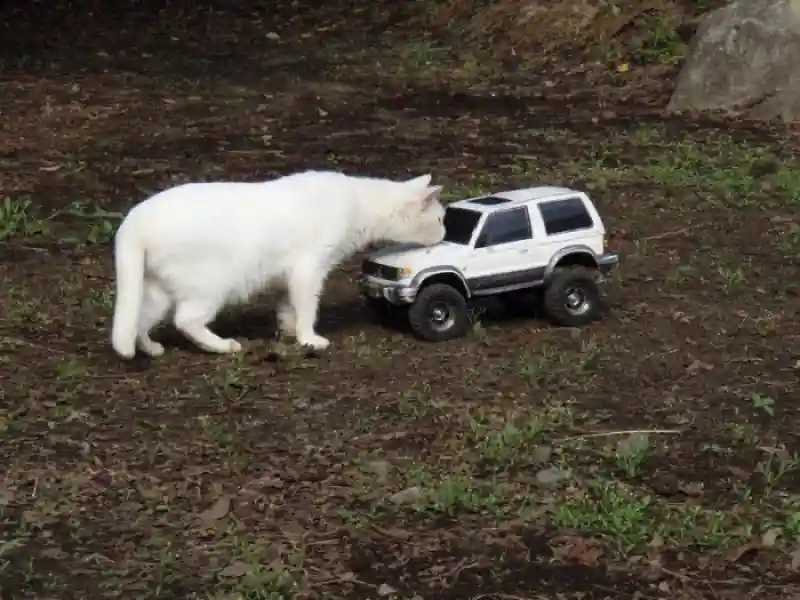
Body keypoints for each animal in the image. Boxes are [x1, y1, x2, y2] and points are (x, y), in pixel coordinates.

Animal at [109, 169, 446, 358]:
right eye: (442, 219)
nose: (445, 233)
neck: (357, 202)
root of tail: (134, 217)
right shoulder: (309, 270)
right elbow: (308, 308)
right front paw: (309, 339)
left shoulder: (289, 276)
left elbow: (287, 307)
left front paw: (289, 331)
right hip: (210, 286)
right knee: (185, 320)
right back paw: (223, 346)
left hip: (157, 291)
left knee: (138, 321)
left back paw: (151, 349)